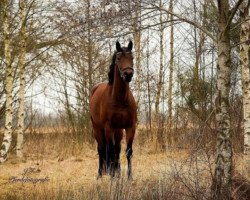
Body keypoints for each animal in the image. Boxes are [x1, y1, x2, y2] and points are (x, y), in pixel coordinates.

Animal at [90, 40, 137, 180]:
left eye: (132, 58)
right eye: (118, 58)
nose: (128, 74)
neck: (120, 99)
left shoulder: (130, 127)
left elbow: (128, 151)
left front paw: (129, 177)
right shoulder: (108, 127)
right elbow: (109, 151)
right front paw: (111, 177)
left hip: (118, 131)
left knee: (117, 150)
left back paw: (117, 171)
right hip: (98, 129)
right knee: (102, 149)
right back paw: (101, 174)